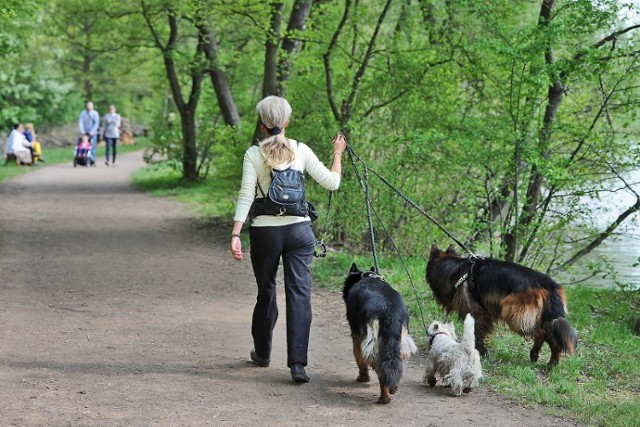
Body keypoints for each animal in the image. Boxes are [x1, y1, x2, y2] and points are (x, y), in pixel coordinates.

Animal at [342, 264, 418, 404]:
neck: (368, 277)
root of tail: (388, 311)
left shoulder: (357, 337)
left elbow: (359, 359)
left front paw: (363, 377)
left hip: (373, 344)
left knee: (380, 370)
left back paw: (384, 398)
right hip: (399, 342)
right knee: (393, 365)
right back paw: (392, 388)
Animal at [428, 246, 576, 366]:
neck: (456, 270)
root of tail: (551, 286)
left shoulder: (475, 311)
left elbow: (477, 332)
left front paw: (481, 350)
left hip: (516, 316)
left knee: (543, 333)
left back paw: (548, 358)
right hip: (543, 318)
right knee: (548, 334)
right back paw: (544, 357)